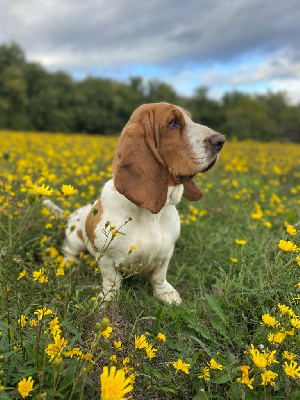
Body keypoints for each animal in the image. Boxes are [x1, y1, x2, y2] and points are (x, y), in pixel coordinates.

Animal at [44, 103, 223, 304]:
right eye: (172, 123)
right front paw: (106, 301)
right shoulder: (106, 259)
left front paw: (165, 295)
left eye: (190, 118)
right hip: (75, 238)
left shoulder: (166, 254)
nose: (221, 141)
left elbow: (159, 277)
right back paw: (69, 262)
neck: (151, 214)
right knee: (68, 249)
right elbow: (112, 281)